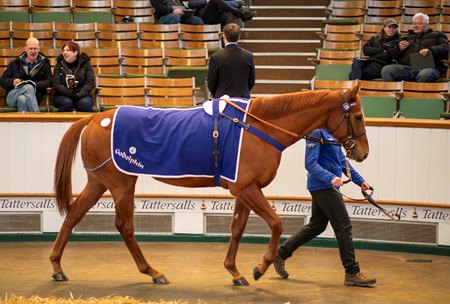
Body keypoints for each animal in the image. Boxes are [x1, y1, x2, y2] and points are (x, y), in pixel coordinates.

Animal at [51, 85, 370, 284]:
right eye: (357, 116)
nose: (362, 153)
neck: (257, 127)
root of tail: (95, 118)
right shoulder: (247, 189)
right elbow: (276, 223)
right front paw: (260, 267)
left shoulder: (245, 190)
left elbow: (237, 228)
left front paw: (235, 271)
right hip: (121, 183)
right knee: (124, 227)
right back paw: (153, 272)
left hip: (99, 182)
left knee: (73, 215)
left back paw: (56, 266)